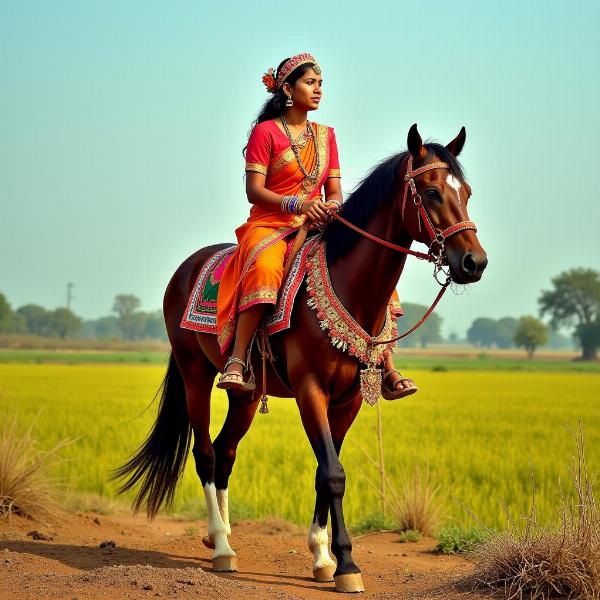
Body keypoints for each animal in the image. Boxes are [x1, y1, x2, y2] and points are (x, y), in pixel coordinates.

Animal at [113, 124, 488, 592]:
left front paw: (323, 557)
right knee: (206, 453)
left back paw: (222, 537)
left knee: (226, 451)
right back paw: (222, 547)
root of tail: (187, 267)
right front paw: (346, 565)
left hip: (246, 395)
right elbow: (333, 473)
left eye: (466, 192)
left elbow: (323, 472)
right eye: (433, 192)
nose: (474, 262)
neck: (350, 286)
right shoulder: (311, 390)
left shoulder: (347, 401)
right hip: (194, 374)